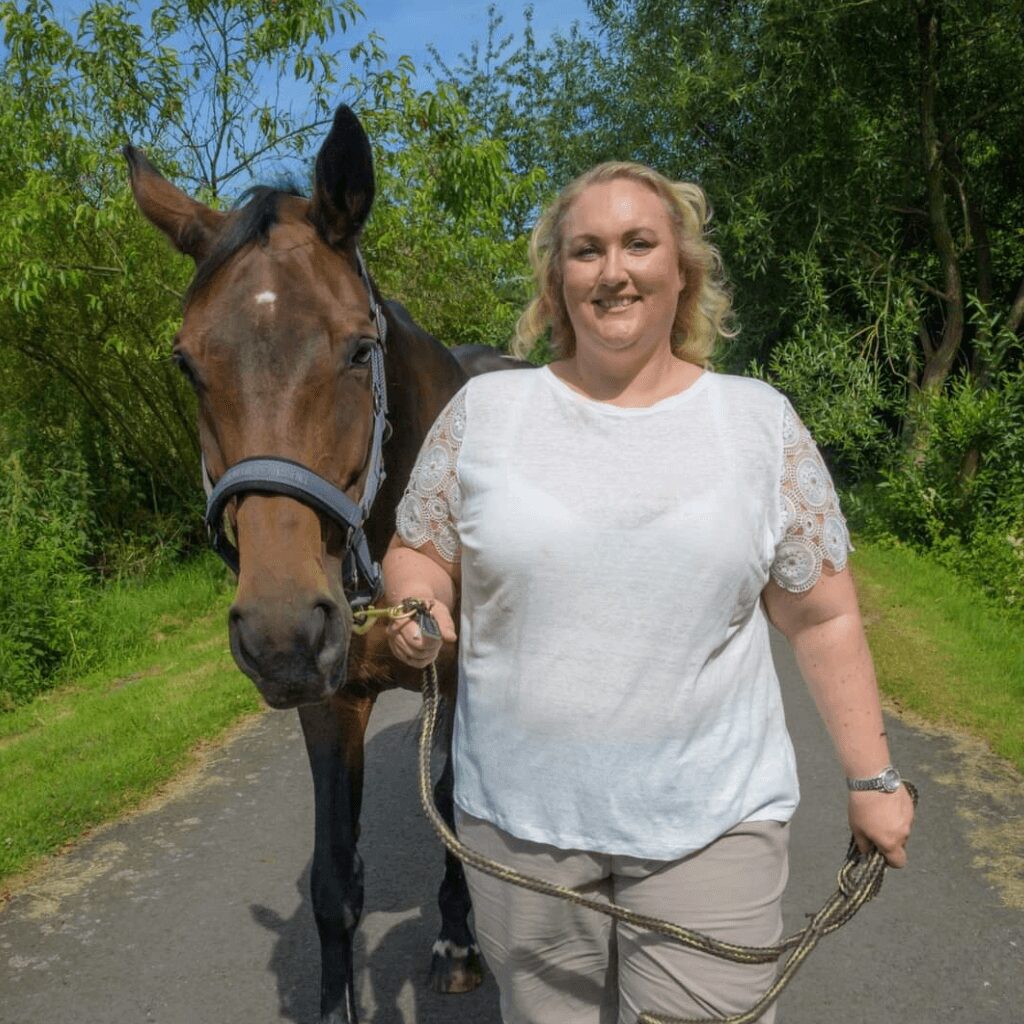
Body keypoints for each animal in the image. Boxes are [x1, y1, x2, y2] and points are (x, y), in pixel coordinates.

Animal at [126, 103, 524, 1024]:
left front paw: (458, 941)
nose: (280, 631)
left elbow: (452, 801)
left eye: (355, 350)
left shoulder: (461, 680)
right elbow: (334, 883)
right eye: (187, 363)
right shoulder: (327, 701)